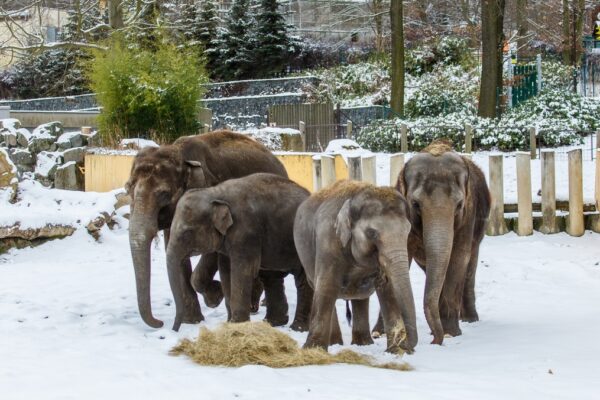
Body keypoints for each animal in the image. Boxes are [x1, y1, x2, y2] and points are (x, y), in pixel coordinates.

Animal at [125, 131, 288, 328]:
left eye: (164, 195)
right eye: (127, 189)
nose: (160, 323)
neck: (179, 152)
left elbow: (213, 252)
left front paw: (215, 297)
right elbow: (174, 250)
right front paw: (192, 321)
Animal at [165, 172, 314, 332]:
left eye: (187, 233)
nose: (174, 330)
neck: (215, 193)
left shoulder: (246, 232)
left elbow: (242, 271)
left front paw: (237, 325)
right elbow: (226, 271)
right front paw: (229, 323)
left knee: (302, 280)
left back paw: (297, 328)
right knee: (272, 277)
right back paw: (273, 323)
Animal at [292, 180, 414, 354]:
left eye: (408, 231)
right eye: (372, 233)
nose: (408, 345)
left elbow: (389, 290)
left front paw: (397, 351)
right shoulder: (328, 240)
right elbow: (327, 286)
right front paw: (313, 350)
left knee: (360, 297)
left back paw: (363, 343)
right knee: (324, 289)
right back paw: (336, 343)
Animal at [392, 140, 490, 344]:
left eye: (459, 205)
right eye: (415, 204)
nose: (433, 343)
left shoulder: (469, 215)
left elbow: (458, 257)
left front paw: (451, 333)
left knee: (470, 264)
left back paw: (469, 319)